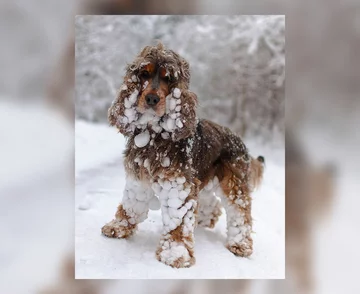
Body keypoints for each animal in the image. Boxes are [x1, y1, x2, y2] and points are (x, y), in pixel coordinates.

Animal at [101, 42, 264, 268]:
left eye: (168, 78)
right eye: (144, 74)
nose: (152, 98)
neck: (154, 134)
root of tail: (240, 140)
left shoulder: (178, 185)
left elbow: (178, 221)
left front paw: (175, 254)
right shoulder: (138, 178)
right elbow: (131, 204)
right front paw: (118, 226)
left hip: (233, 182)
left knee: (240, 212)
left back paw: (240, 245)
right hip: (203, 177)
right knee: (211, 202)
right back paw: (205, 220)